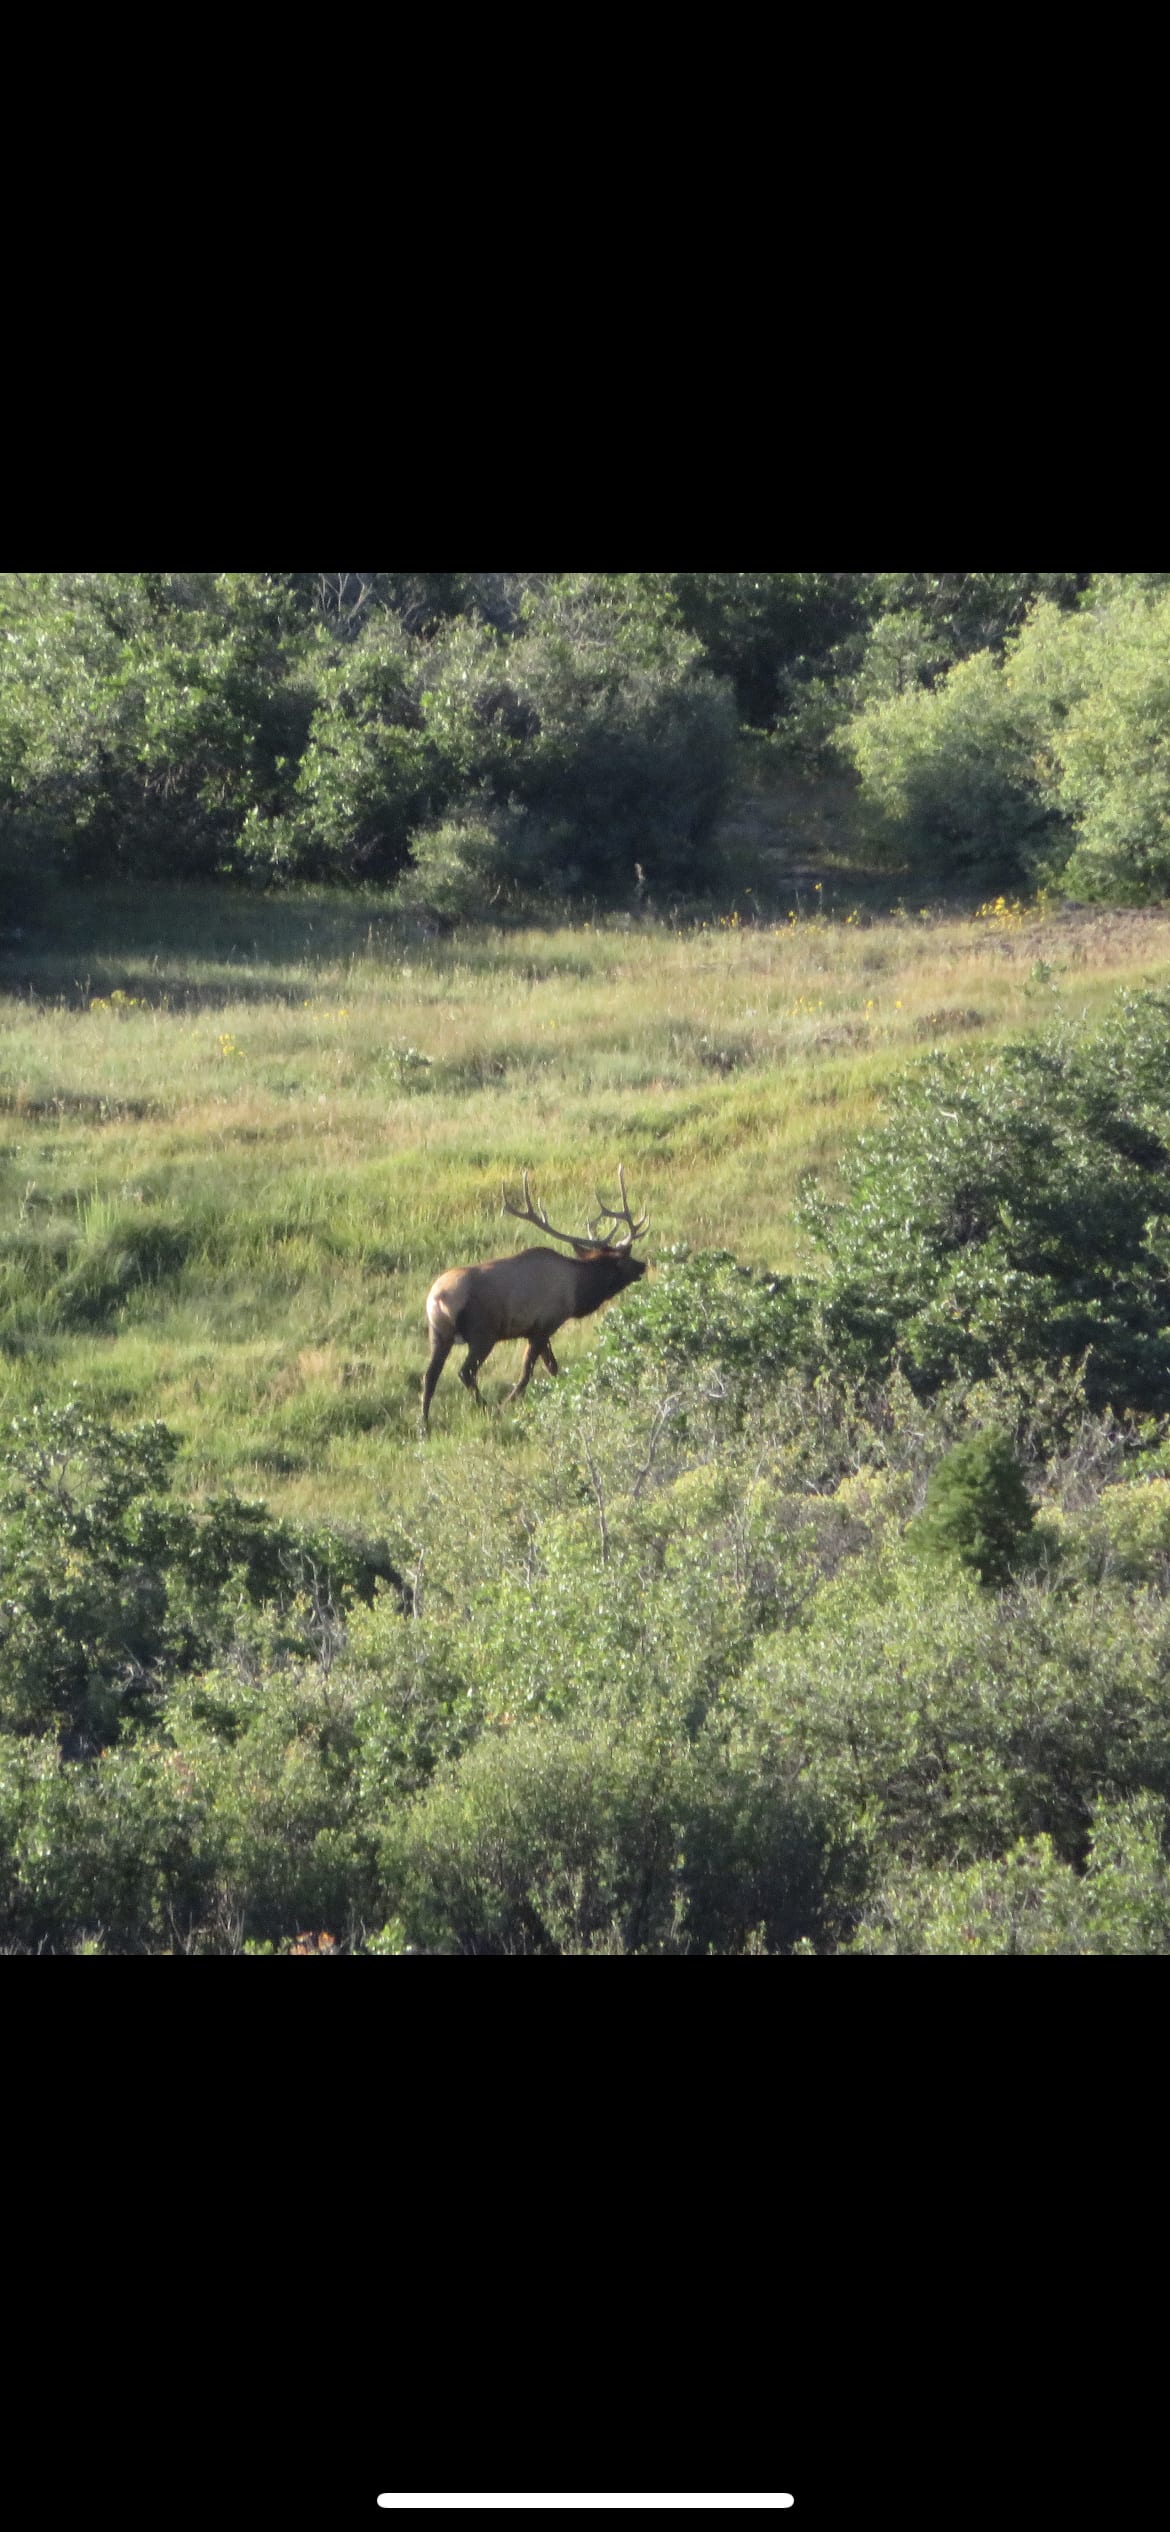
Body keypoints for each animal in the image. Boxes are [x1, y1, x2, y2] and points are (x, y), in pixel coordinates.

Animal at [421, 1167, 649, 1432]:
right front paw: (508, 1404)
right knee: (465, 1372)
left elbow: (551, 1367)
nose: (643, 1265)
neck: (578, 1291)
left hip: (439, 1334)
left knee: (429, 1376)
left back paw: (423, 1426)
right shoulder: (544, 1325)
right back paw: (487, 1408)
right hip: (483, 1334)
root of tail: (438, 1298)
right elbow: (529, 1372)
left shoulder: (536, 1330)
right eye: (624, 1259)